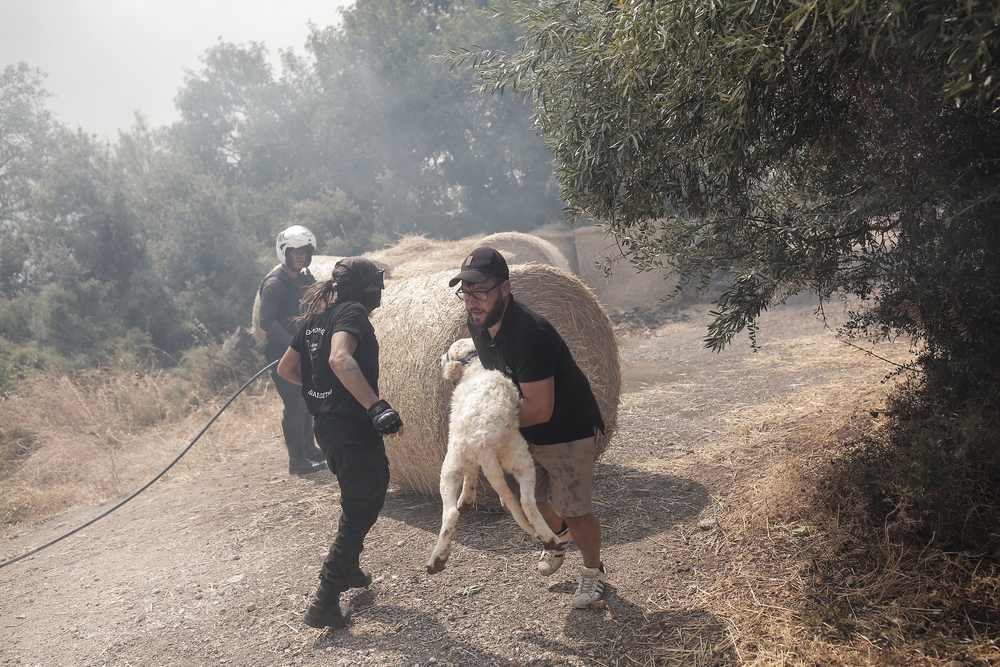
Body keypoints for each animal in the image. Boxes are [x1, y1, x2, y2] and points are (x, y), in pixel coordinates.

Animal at [424, 340, 560, 576]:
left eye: (449, 352)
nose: (439, 359)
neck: (476, 368)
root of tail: (485, 441)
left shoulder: (465, 457)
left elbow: (471, 475)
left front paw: (466, 499)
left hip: (449, 467)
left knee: (450, 513)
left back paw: (437, 559)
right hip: (520, 459)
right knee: (527, 503)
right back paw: (549, 538)